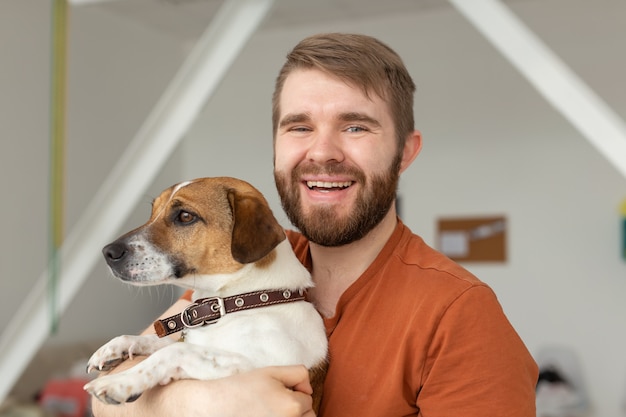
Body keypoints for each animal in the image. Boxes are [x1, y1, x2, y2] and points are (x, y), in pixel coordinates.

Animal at [83, 176, 326, 410]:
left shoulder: (260, 365)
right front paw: (117, 347)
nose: (107, 252)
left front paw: (119, 382)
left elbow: (174, 351)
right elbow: (163, 341)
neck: (239, 301)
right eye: (153, 212)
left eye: (185, 216)